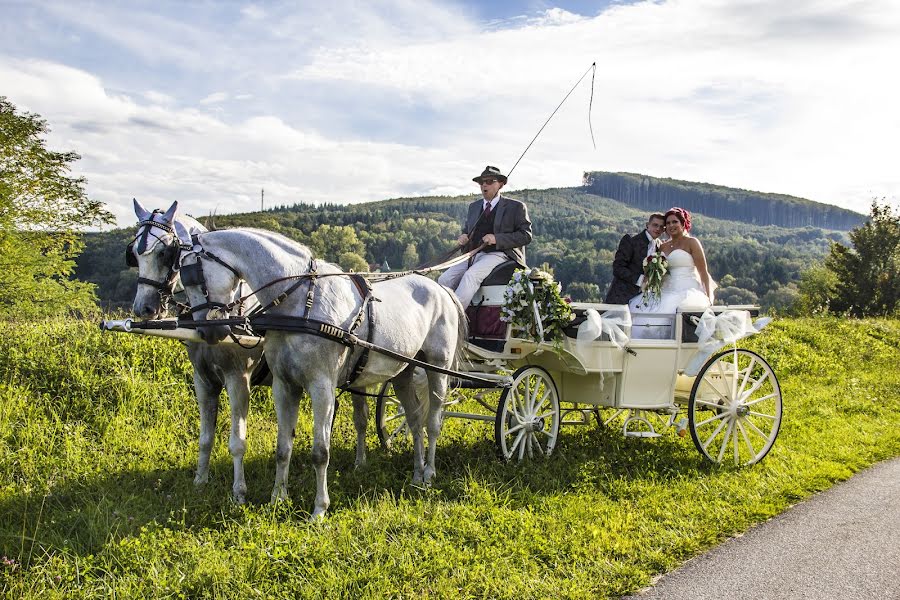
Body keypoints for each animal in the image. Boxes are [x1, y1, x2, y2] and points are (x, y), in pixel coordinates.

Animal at [129, 199, 268, 504]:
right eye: (133, 254)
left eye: (165, 253)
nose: (144, 309)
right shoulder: (203, 380)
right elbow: (205, 437)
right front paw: (200, 481)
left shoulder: (238, 379)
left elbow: (237, 442)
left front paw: (239, 492)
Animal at [178, 227, 468, 516]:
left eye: (194, 276)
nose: (208, 332)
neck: (301, 302)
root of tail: (441, 289)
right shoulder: (284, 386)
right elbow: (283, 447)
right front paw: (277, 498)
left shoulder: (321, 387)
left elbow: (320, 452)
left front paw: (319, 508)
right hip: (403, 371)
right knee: (415, 420)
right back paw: (417, 473)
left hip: (438, 368)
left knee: (433, 422)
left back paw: (429, 473)